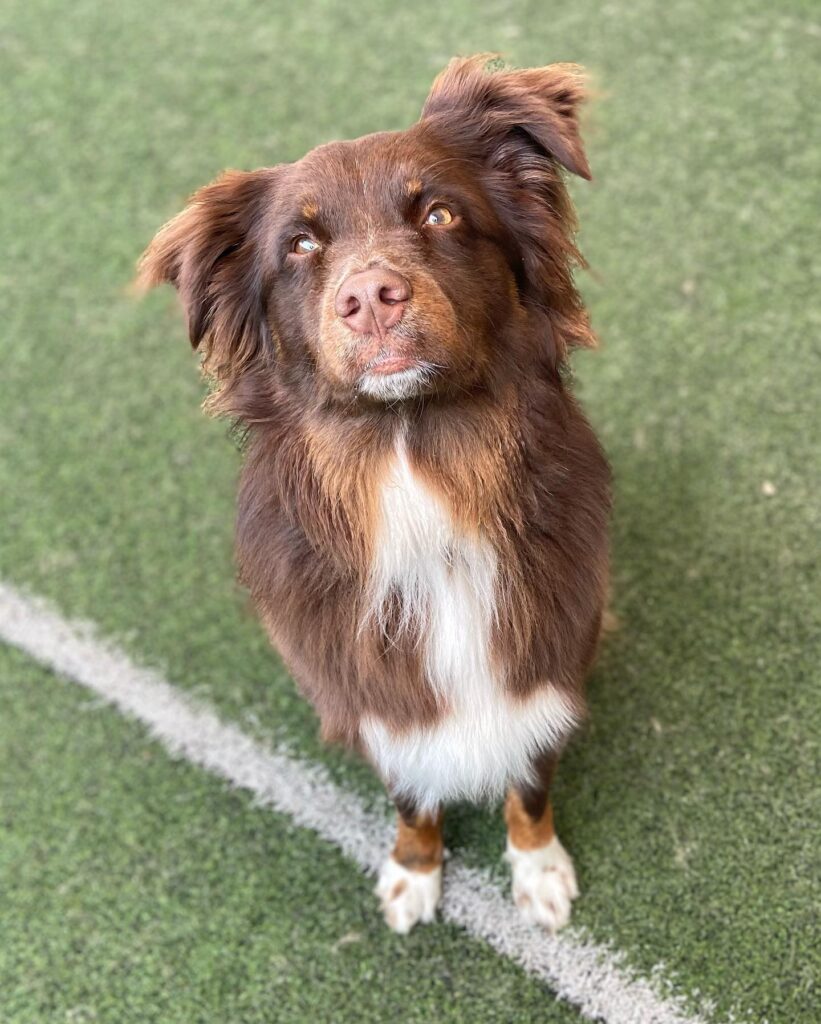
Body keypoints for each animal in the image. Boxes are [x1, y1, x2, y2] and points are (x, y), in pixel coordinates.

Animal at [139, 56, 606, 937]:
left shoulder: (544, 665)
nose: (370, 299)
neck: (411, 455)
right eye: (299, 246)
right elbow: (410, 795)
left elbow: (529, 785)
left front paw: (536, 869)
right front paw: (414, 872)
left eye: (439, 212)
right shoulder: (371, 698)